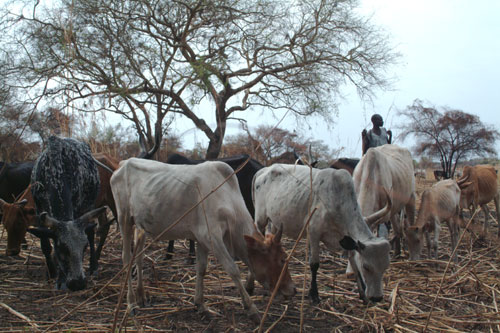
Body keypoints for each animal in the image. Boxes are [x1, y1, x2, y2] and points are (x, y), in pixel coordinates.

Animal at [28, 136, 105, 290]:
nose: (78, 283)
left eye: (84, 247)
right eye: (61, 248)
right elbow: (45, 244)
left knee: (91, 232)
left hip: (89, 204)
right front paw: (52, 272)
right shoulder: (39, 206)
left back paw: (93, 266)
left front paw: (61, 280)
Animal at [111, 157, 294, 322]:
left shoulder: (201, 239)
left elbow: (201, 268)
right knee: (126, 258)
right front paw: (251, 308)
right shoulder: (211, 236)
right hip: (124, 219)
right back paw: (131, 303)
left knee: (139, 258)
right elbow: (233, 269)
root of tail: (123, 163)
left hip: (140, 226)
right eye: (281, 259)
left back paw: (142, 296)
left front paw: (200, 305)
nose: (292, 290)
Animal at [254, 163, 390, 304]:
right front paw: (314, 294)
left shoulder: (348, 241)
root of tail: (264, 170)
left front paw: (362, 295)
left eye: (386, 266)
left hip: (275, 222)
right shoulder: (313, 233)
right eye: (366, 266)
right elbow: (314, 264)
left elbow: (354, 265)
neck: (337, 199)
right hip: (260, 219)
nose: (377, 297)